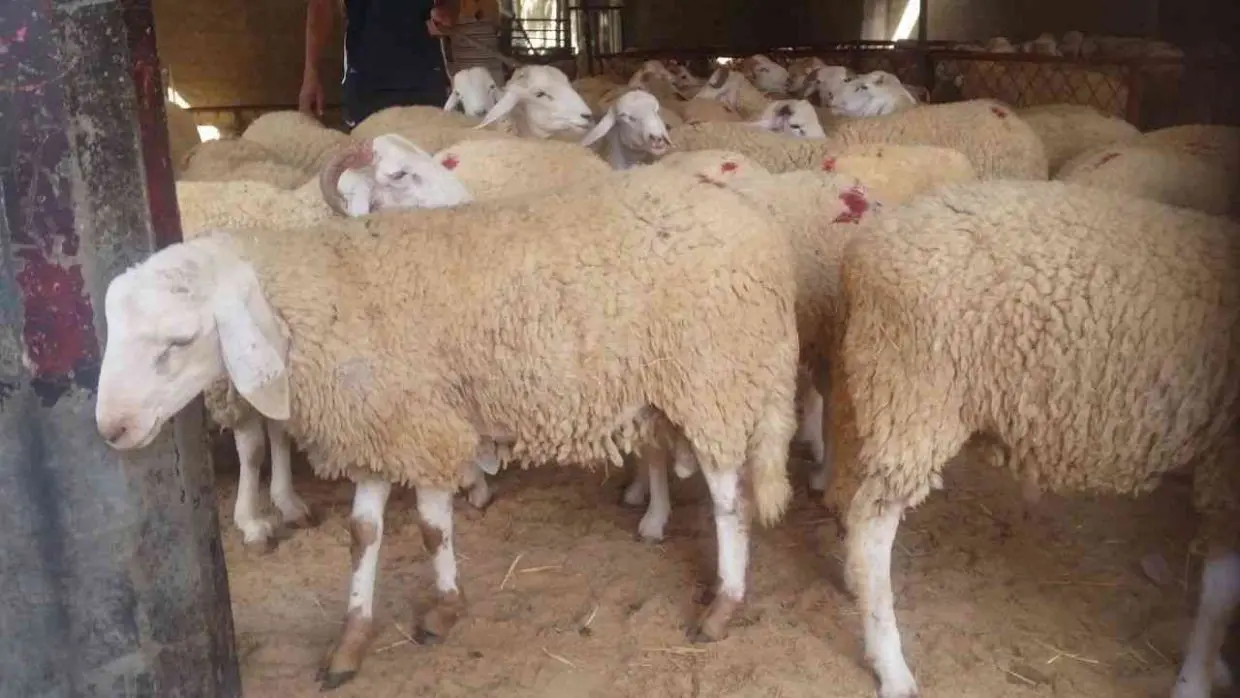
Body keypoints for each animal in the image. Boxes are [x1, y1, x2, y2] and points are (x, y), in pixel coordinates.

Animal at [94, 162, 802, 688]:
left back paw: (723, 607)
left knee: (731, 502)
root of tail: (762, 233)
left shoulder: (420, 424)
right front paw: (353, 640)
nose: (111, 430)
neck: (322, 294)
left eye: (179, 341)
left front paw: (441, 610)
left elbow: (432, 528)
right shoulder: (382, 426)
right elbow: (366, 534)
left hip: (714, 381)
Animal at [822, 179, 1240, 698]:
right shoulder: (1230, 464)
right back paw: (892, 666)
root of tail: (863, 253)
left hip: (868, 391)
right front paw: (1196, 678)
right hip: (915, 396)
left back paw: (853, 585)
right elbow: (1221, 596)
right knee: (872, 531)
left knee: (847, 494)